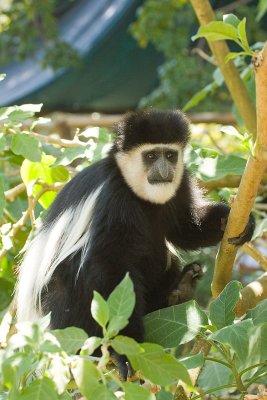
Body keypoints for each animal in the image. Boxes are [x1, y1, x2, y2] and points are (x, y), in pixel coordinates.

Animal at [16, 108, 255, 378]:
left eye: (170, 155)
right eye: (150, 156)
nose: (164, 170)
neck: (135, 189)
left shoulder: (180, 182)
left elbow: (185, 227)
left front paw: (232, 220)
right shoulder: (113, 199)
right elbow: (108, 265)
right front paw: (124, 351)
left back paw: (179, 289)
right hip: (61, 312)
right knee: (75, 272)